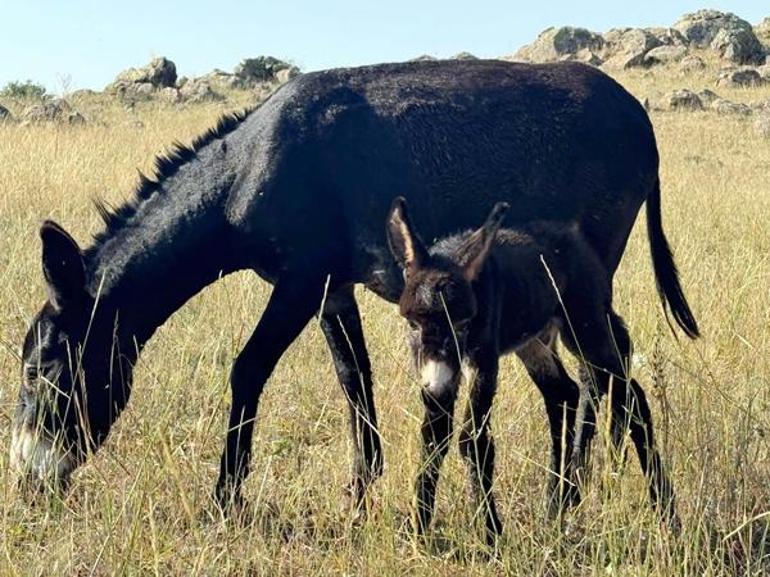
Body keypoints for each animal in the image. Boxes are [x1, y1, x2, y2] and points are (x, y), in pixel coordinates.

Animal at [388, 196, 676, 544]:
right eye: (413, 324)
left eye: (463, 323)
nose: (435, 381)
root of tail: (579, 241)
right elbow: (434, 437)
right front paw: (420, 529)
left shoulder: (484, 361)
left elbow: (474, 441)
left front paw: (492, 536)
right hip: (535, 344)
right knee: (567, 393)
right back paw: (558, 504)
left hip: (585, 331)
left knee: (631, 394)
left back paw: (666, 511)